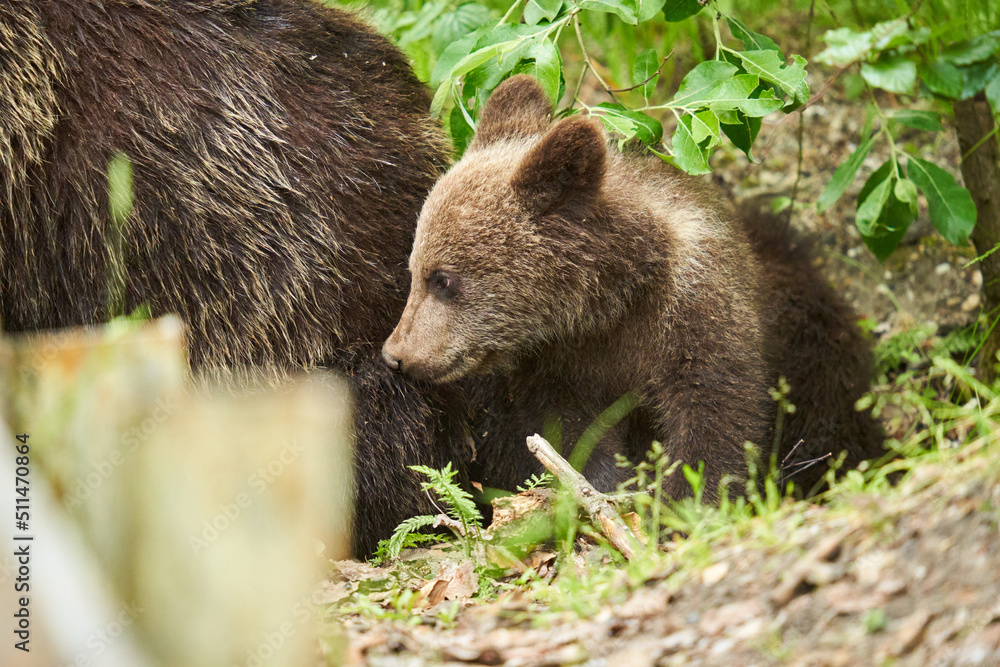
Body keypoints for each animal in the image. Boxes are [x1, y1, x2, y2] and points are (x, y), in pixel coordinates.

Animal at [382, 74, 885, 501]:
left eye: (442, 279)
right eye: (414, 269)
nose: (396, 354)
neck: (615, 297)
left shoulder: (695, 312)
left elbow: (715, 414)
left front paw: (686, 501)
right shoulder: (558, 362)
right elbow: (570, 431)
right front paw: (612, 483)